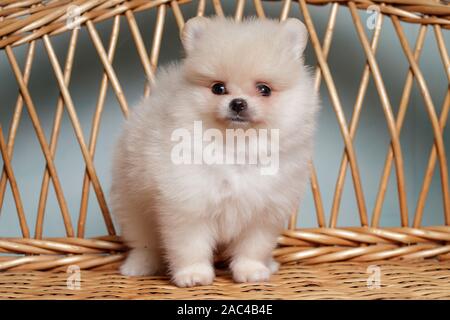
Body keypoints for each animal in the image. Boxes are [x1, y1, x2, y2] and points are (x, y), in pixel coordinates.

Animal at [110, 16, 318, 288]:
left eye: (264, 89)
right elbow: (190, 246)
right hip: (133, 203)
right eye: (218, 88)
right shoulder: (187, 204)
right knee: (143, 242)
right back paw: (139, 265)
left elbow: (254, 247)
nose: (238, 103)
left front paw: (252, 270)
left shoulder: (264, 213)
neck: (237, 145)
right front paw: (193, 275)